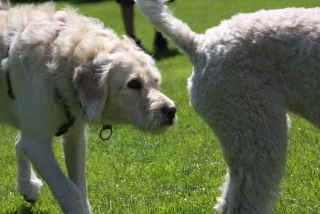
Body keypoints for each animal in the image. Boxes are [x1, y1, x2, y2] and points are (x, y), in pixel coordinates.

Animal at [0, 0, 175, 213]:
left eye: (156, 82)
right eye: (133, 84)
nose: (171, 111)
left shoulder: (74, 135)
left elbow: (79, 188)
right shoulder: (38, 142)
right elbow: (69, 191)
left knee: (19, 143)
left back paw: (28, 186)